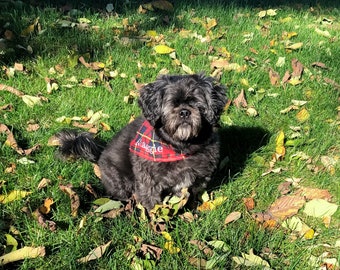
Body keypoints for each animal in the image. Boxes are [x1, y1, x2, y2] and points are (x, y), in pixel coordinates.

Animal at [55, 74, 226, 211]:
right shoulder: (148, 181)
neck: (180, 148)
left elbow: (190, 197)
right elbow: (152, 203)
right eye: (172, 104)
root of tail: (100, 155)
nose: (184, 112)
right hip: (120, 182)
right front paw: (157, 222)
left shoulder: (199, 179)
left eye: (196, 103)